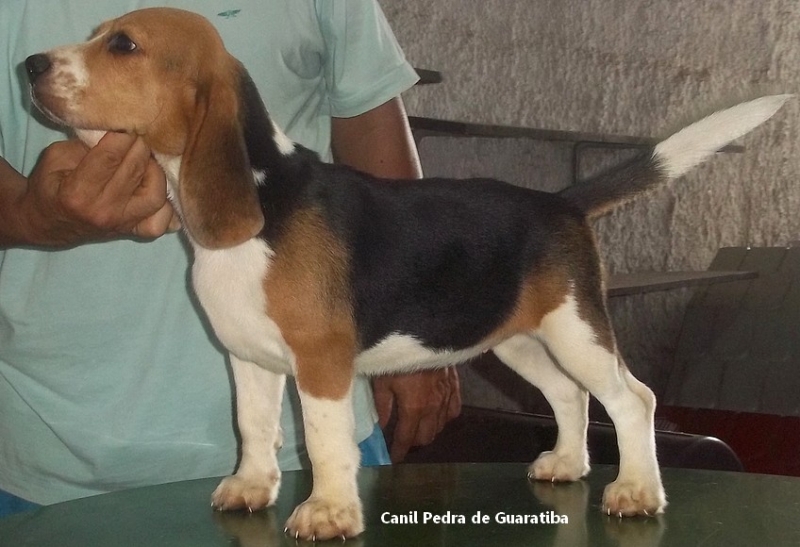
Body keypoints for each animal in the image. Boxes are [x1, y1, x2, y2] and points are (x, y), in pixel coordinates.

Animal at [25, 7, 788, 540]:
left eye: (123, 45)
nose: (29, 64)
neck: (262, 198)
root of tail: (560, 201)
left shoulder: (321, 362)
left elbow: (325, 441)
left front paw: (328, 511)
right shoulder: (249, 359)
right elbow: (252, 427)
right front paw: (250, 486)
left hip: (577, 329)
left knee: (633, 399)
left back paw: (635, 491)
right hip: (518, 341)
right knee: (570, 397)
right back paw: (566, 464)